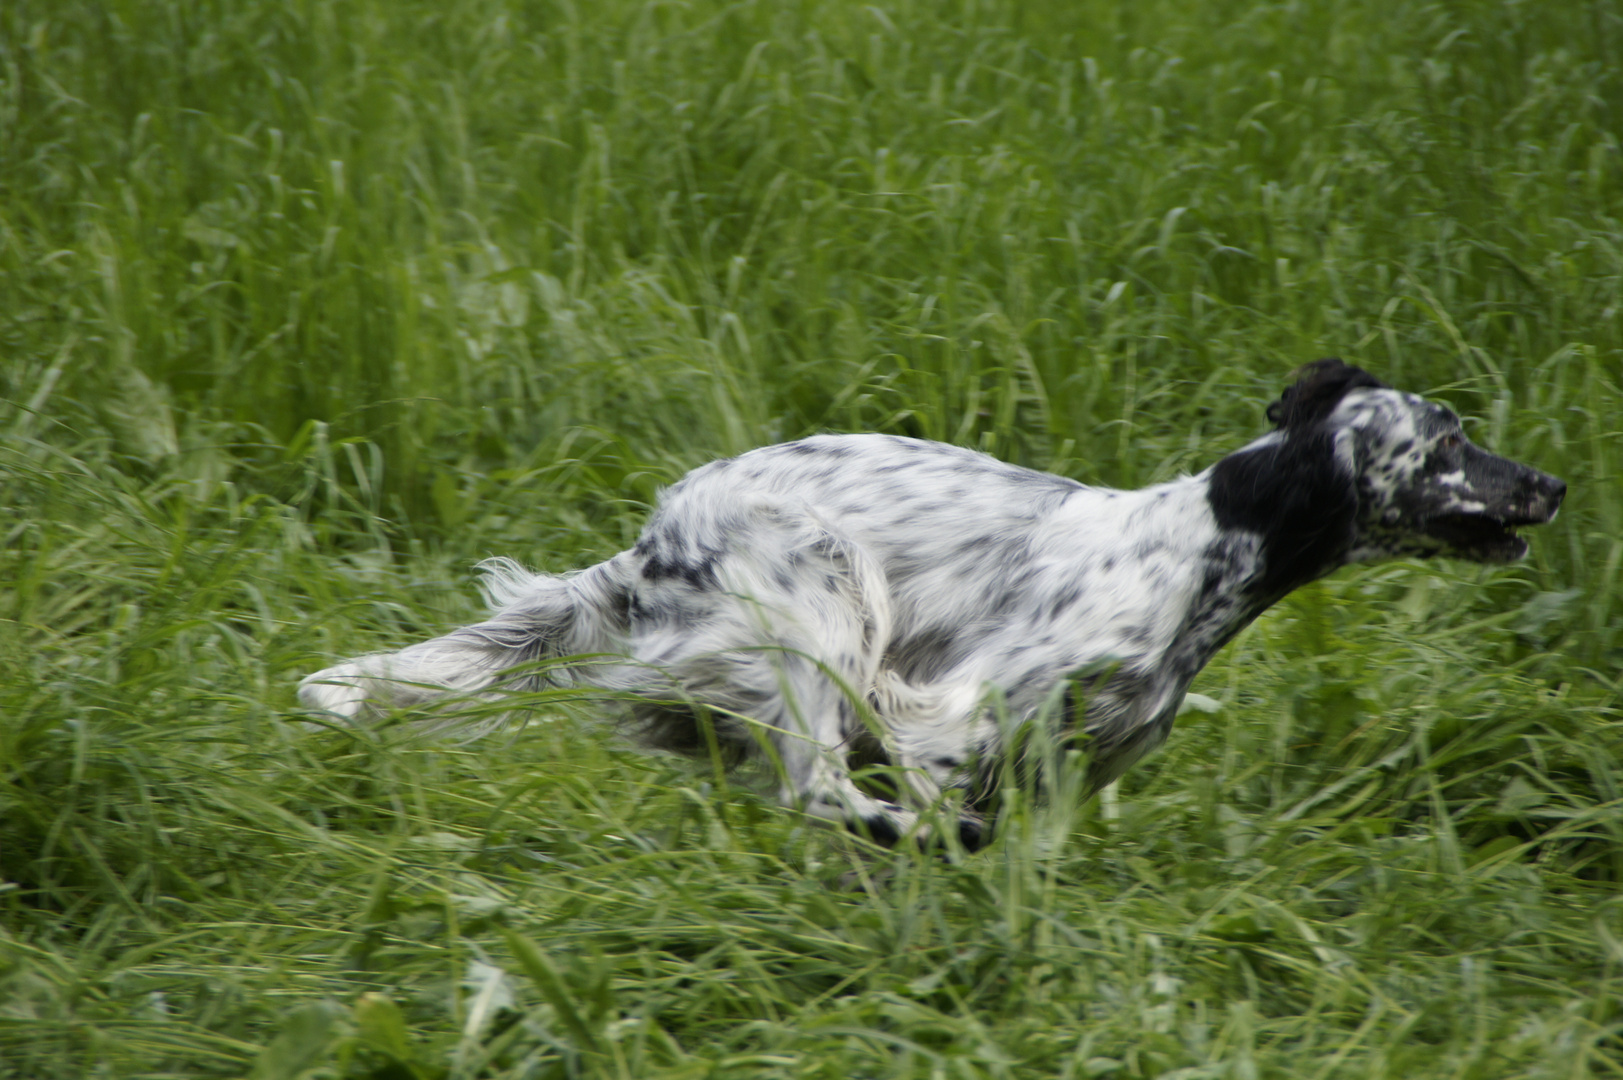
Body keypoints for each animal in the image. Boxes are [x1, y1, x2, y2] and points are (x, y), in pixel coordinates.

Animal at [301, 362, 1558, 851]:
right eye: (1450, 441)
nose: (1547, 483)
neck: (1199, 549)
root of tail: (655, 540)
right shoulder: (953, 715)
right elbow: (933, 784)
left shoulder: (1073, 762)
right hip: (825, 591)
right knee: (816, 784)